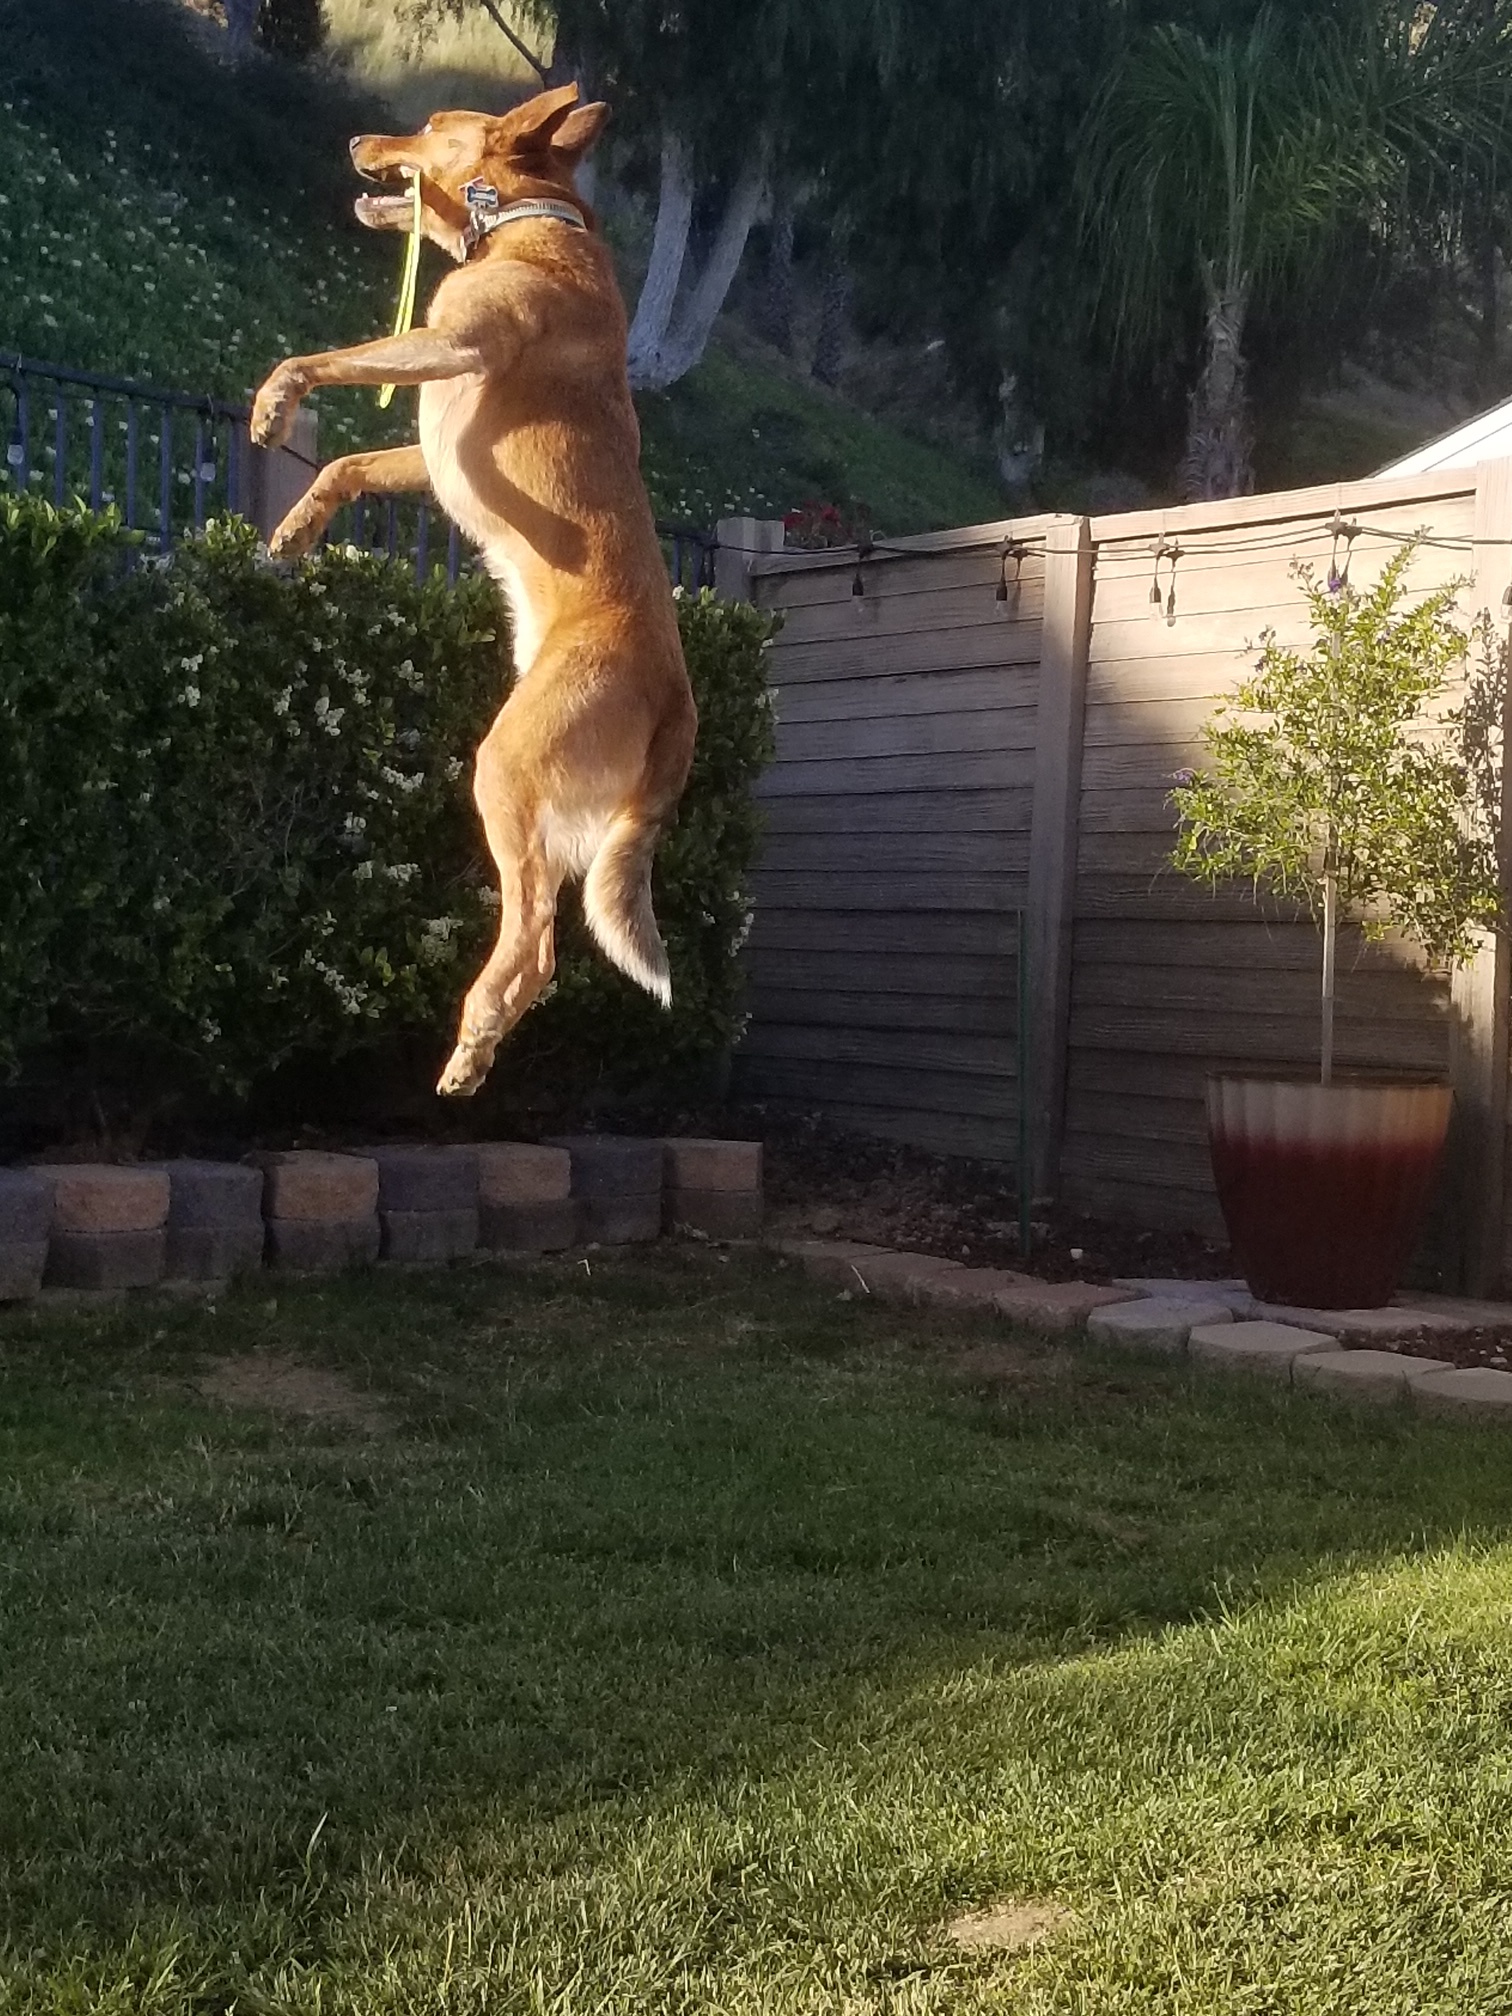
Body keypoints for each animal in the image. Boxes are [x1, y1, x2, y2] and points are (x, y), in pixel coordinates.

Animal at [248, 90, 697, 1104]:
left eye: (427, 125)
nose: (357, 139)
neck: (531, 223)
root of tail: (678, 701)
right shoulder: (429, 446)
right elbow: (344, 466)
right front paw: (294, 532)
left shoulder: (451, 342)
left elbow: (324, 359)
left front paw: (274, 401)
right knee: (549, 944)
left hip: (508, 775)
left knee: (535, 944)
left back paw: (473, 1036)